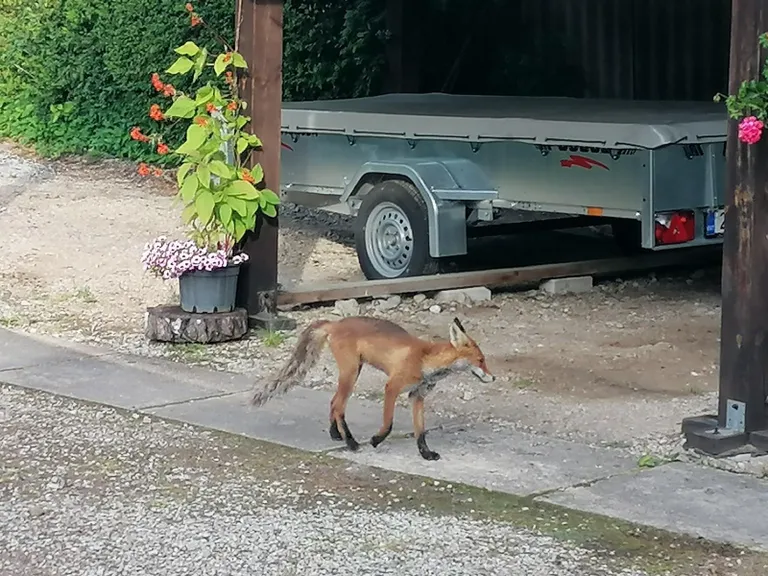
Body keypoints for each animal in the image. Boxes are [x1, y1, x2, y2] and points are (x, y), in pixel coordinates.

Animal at [249, 312, 496, 462]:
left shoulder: (417, 395)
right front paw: (376, 440)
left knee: (334, 402)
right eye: (481, 360)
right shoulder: (392, 387)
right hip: (350, 373)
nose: (494, 378)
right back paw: (350, 442)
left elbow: (421, 431)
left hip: (353, 372)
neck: (426, 360)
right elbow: (388, 423)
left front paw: (426, 454)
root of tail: (335, 323)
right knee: (338, 406)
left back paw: (336, 434)